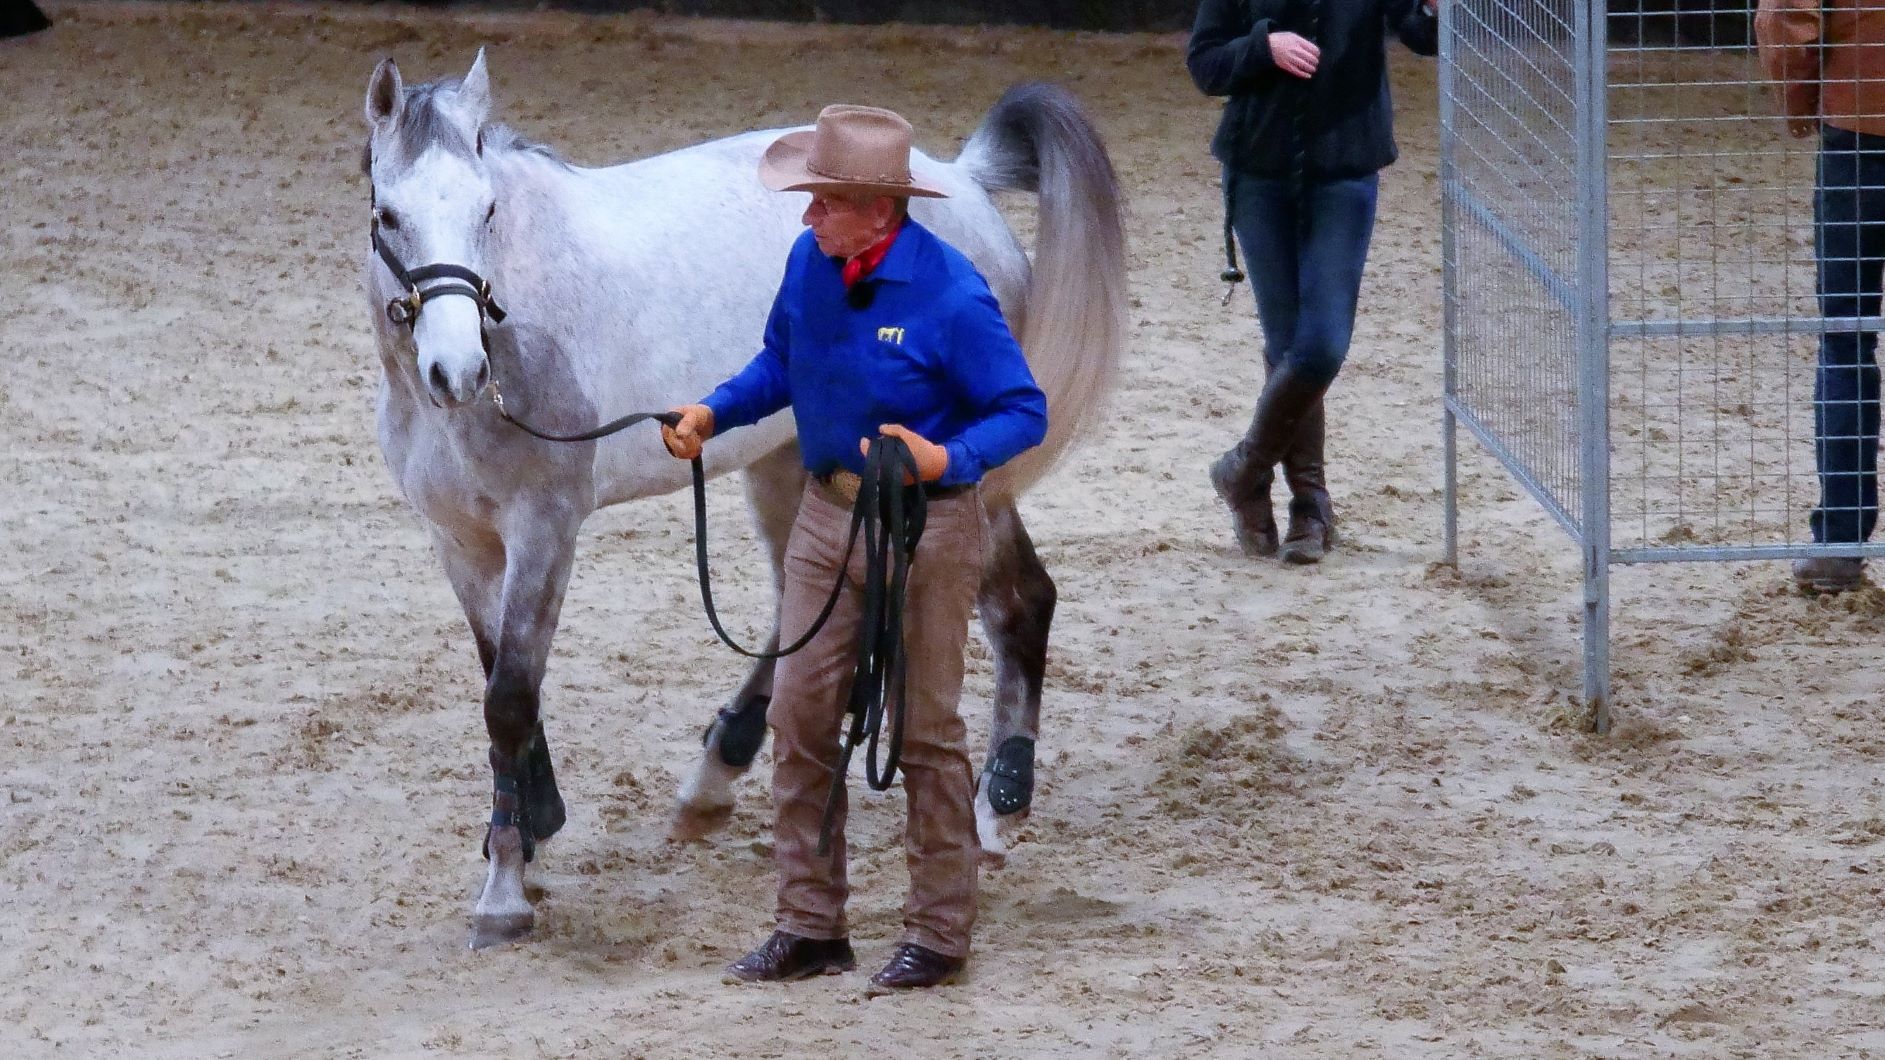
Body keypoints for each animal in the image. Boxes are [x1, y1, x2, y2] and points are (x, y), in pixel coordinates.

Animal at [367, 49, 1123, 943]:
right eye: (387, 216)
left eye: (486, 210)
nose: (456, 372)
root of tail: (963, 182)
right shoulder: (460, 541)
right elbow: (501, 680)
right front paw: (527, 831)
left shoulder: (545, 530)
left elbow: (511, 699)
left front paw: (504, 893)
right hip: (791, 465)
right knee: (813, 611)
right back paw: (715, 776)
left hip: (951, 474)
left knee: (1020, 601)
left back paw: (994, 810)